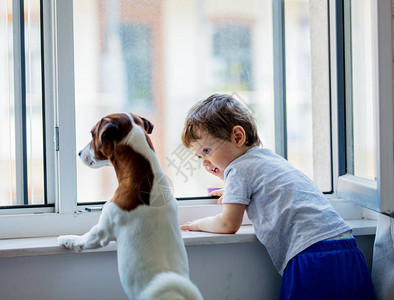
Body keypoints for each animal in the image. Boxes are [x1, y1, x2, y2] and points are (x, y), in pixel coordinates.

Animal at [58, 113, 203, 300]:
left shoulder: (100, 232)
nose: (79, 153)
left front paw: (66, 238)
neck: (145, 179)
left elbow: (81, 239)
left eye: (92, 134)